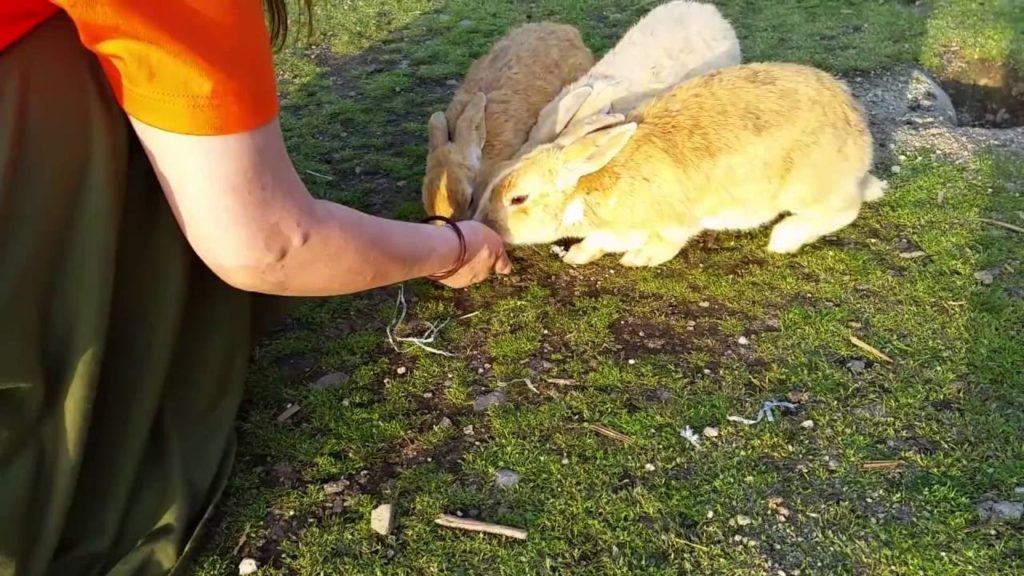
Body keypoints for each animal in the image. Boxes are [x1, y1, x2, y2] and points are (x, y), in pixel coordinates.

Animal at [473, 62, 887, 268]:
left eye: (518, 199)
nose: (485, 225)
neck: (591, 183)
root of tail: (860, 143)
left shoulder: (670, 221)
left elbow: (665, 242)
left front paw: (636, 260)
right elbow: (599, 240)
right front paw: (579, 256)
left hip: (807, 189)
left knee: (843, 211)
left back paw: (783, 239)